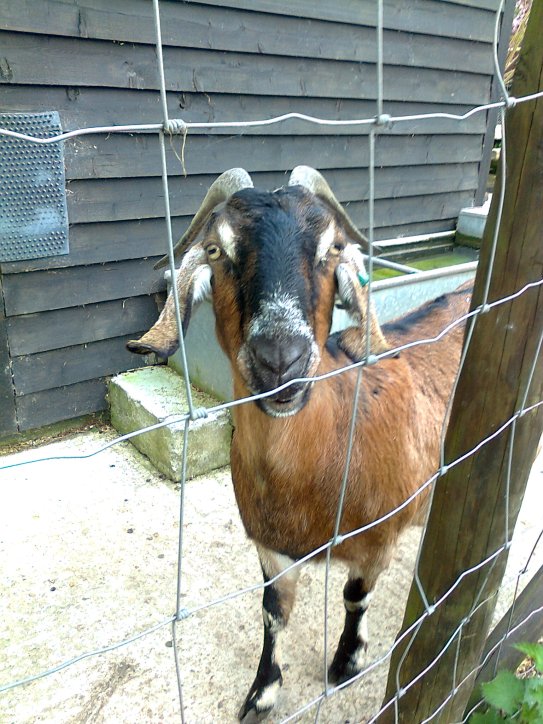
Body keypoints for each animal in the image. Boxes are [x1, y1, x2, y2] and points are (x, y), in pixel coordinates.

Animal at [127, 167, 471, 722]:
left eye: (333, 249)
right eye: (217, 250)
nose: (279, 361)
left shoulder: (378, 540)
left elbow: (355, 596)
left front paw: (347, 661)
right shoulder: (271, 547)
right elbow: (273, 614)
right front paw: (262, 693)